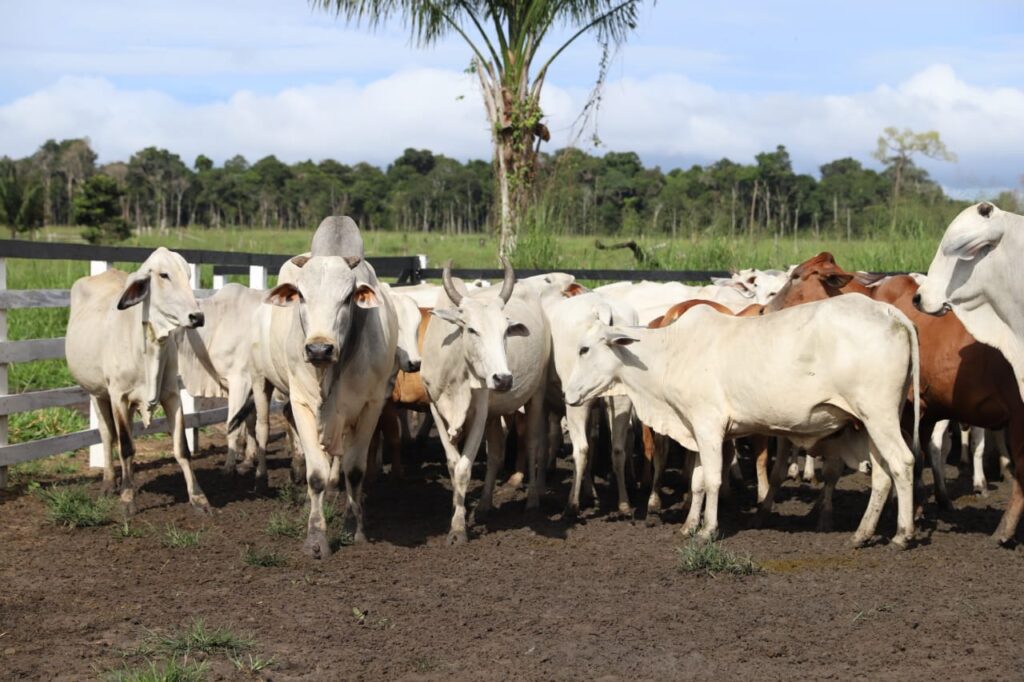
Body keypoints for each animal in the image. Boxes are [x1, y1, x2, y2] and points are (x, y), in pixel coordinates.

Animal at [65, 246, 209, 512]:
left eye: (187, 275)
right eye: (164, 275)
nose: (197, 317)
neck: (149, 345)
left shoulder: (172, 395)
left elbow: (181, 448)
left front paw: (198, 498)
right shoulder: (118, 396)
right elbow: (126, 446)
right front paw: (127, 499)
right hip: (97, 393)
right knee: (108, 435)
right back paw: (110, 483)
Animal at [419, 258, 552, 544]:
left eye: (506, 331)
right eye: (471, 329)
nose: (503, 379)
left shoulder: (479, 412)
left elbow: (463, 468)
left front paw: (458, 529)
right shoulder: (436, 408)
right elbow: (453, 464)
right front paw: (458, 508)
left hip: (537, 394)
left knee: (533, 444)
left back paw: (532, 502)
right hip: (495, 412)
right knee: (496, 454)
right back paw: (484, 505)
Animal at [561, 292, 921, 548]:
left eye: (584, 349)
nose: (568, 393)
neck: (671, 352)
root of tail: (888, 312)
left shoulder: (708, 426)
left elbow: (712, 480)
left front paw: (708, 530)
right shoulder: (698, 430)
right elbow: (697, 480)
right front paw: (688, 526)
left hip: (879, 414)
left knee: (902, 463)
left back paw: (902, 535)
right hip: (869, 421)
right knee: (883, 475)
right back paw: (862, 534)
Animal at [770, 251, 1024, 544]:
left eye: (796, 276)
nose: (766, 309)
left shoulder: (907, 410)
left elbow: (908, 459)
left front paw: (906, 515)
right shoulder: (926, 414)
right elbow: (922, 456)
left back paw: (1003, 531)